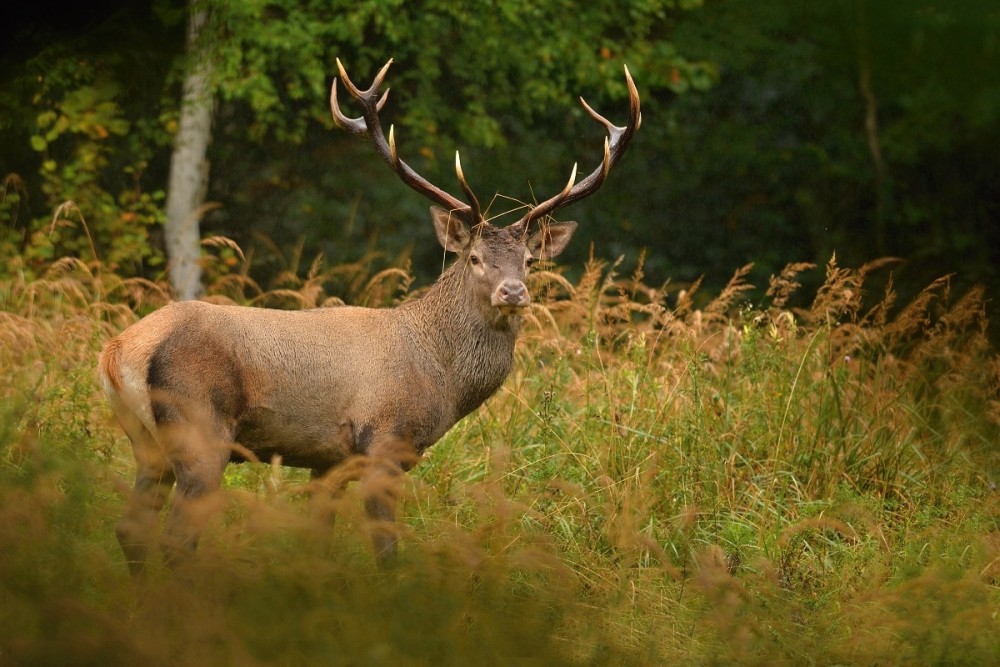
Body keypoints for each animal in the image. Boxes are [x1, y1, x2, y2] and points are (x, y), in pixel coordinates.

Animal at [99, 56, 640, 576]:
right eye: (474, 258)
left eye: (528, 260)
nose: (513, 292)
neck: (440, 377)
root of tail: (118, 351)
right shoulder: (384, 442)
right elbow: (386, 550)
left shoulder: (327, 461)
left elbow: (316, 543)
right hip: (200, 430)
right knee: (175, 539)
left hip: (146, 443)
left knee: (130, 529)